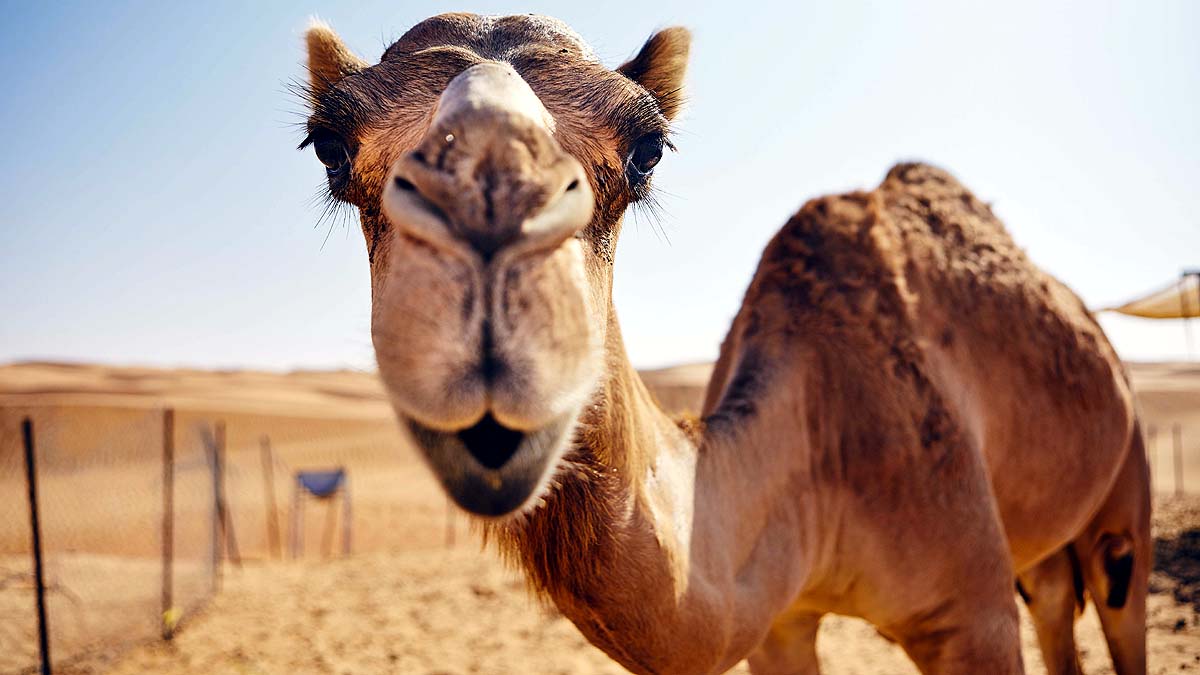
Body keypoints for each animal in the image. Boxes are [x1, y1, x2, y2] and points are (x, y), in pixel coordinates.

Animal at [297, 14, 1150, 674]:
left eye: (647, 149)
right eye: (329, 148)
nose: (490, 224)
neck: (826, 445)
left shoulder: (971, 614)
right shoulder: (778, 622)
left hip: (1122, 495)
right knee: (1055, 603)